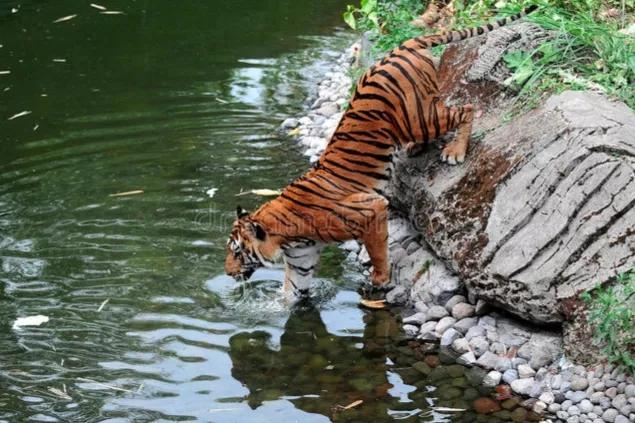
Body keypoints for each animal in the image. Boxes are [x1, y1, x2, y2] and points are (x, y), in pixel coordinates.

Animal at [226, 5, 540, 298]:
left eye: (238, 252)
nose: (228, 273)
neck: (288, 238)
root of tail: (404, 45)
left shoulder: (371, 210)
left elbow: (377, 250)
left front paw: (379, 279)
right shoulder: (301, 259)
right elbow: (292, 292)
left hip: (419, 119)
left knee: (466, 108)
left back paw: (454, 151)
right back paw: (415, 148)